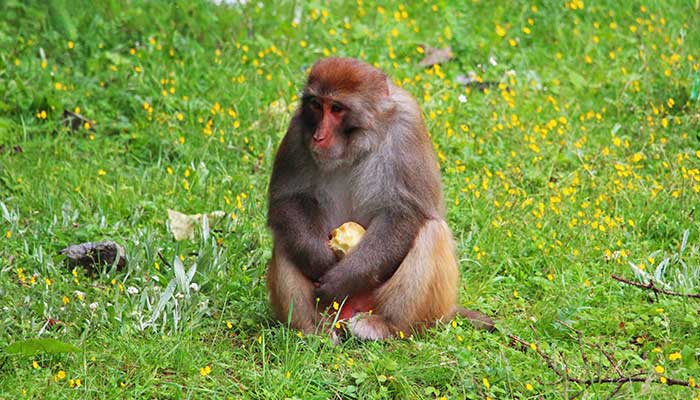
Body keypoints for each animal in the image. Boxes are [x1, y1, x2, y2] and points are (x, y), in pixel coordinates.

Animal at [266, 57, 492, 340]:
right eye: (316, 105)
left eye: (337, 108)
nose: (318, 136)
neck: (360, 142)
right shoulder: (298, 126)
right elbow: (288, 199)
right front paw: (318, 259)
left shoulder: (407, 125)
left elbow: (405, 211)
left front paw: (344, 277)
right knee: (285, 238)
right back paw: (313, 330)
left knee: (431, 231)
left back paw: (386, 325)